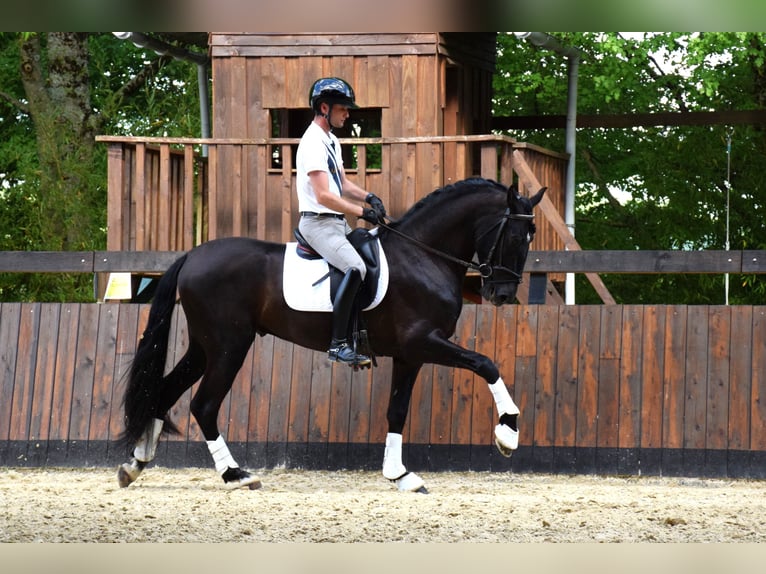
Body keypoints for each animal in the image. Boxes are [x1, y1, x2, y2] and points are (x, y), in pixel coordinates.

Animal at [118, 178, 544, 492]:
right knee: (204, 404)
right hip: (229, 346)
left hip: (204, 347)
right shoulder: (423, 341)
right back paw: (236, 474)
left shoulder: (410, 354)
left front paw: (400, 475)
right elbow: (486, 364)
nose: (502, 294)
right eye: (513, 236)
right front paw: (508, 433)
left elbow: (397, 410)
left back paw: (134, 464)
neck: (423, 256)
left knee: (164, 392)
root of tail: (193, 254)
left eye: (531, 237)